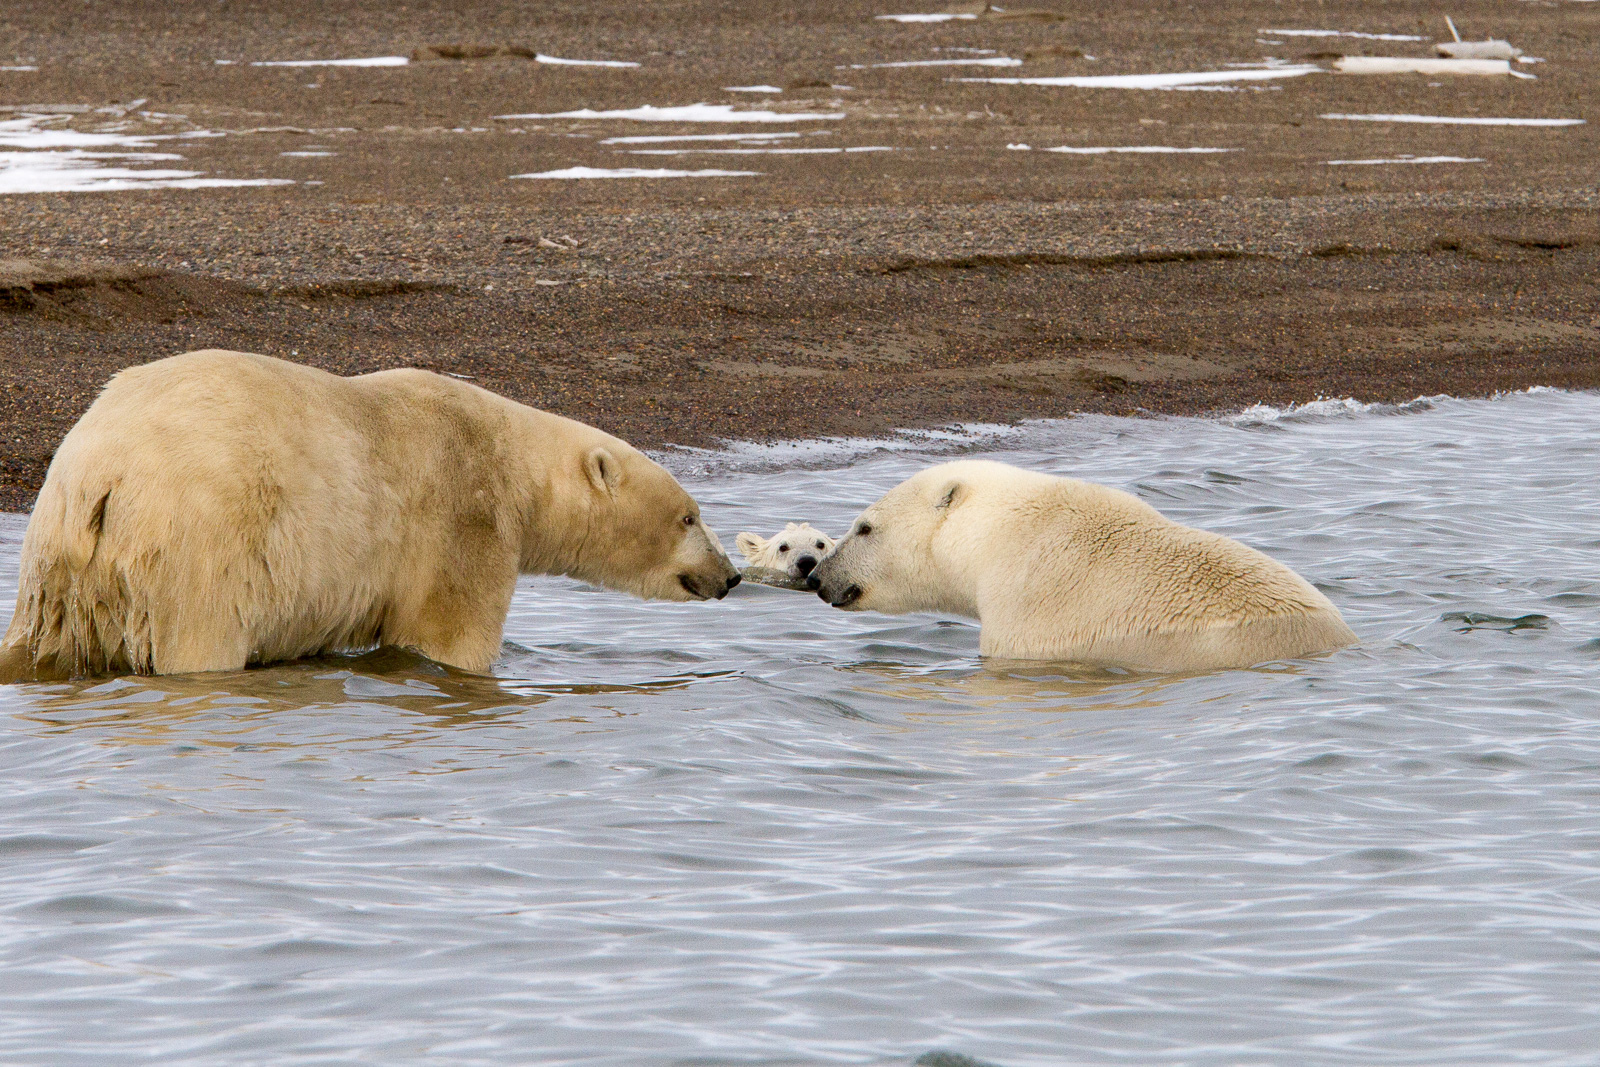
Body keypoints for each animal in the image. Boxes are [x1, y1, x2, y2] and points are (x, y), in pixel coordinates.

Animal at [0, 351, 736, 684]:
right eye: (689, 517)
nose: (729, 575)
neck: (511, 456)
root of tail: (100, 477)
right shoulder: (463, 515)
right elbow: (447, 634)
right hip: (197, 547)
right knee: (202, 638)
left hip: (59, 567)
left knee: (43, 641)